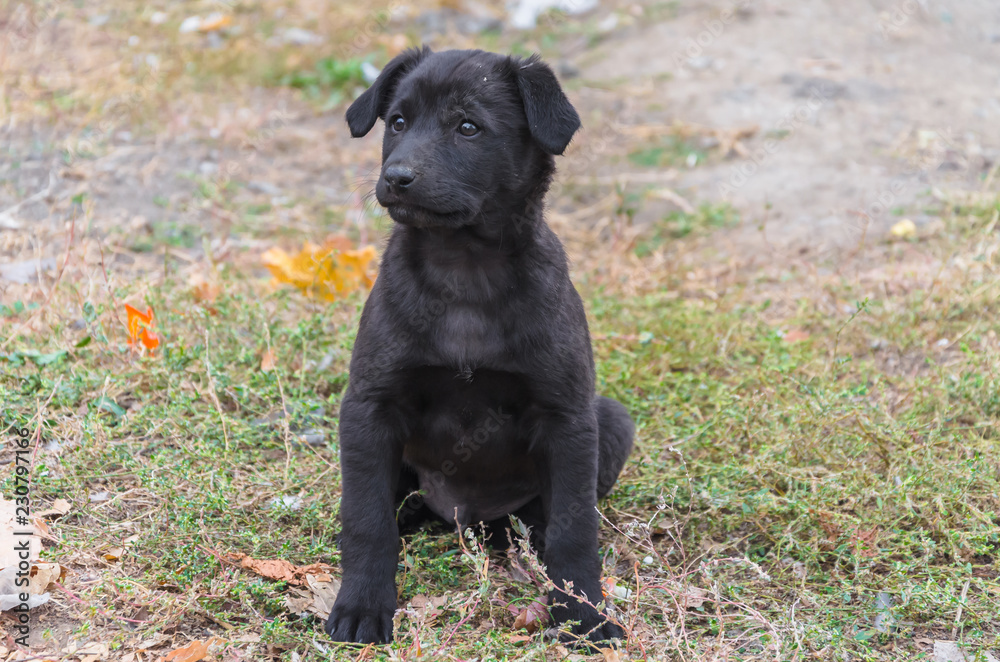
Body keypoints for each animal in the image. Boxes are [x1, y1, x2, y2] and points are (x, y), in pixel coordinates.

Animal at [326, 46, 632, 648]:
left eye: (468, 128)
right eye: (398, 122)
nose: (396, 178)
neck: (464, 270)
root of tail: (473, 516)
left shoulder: (568, 416)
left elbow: (575, 529)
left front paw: (583, 613)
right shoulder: (370, 407)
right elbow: (366, 520)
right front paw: (363, 605)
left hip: (610, 420)